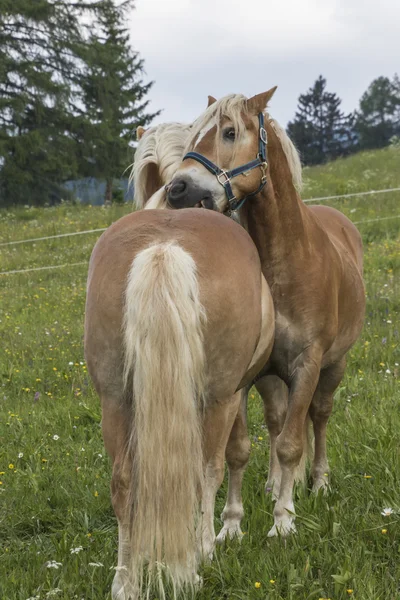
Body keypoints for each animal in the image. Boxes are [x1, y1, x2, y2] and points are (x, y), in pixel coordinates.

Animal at [85, 207, 276, 600]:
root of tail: (163, 247)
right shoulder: (234, 394)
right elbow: (232, 457)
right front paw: (224, 533)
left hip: (114, 402)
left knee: (124, 483)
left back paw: (126, 581)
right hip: (217, 399)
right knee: (203, 473)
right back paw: (196, 559)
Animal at [166, 90, 366, 540]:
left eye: (229, 132)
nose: (177, 189)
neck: (283, 261)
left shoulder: (308, 363)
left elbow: (294, 443)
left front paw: (283, 522)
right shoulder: (244, 375)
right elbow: (238, 450)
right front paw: (230, 526)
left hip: (334, 366)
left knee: (318, 418)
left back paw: (318, 482)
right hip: (271, 377)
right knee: (277, 420)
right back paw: (274, 485)